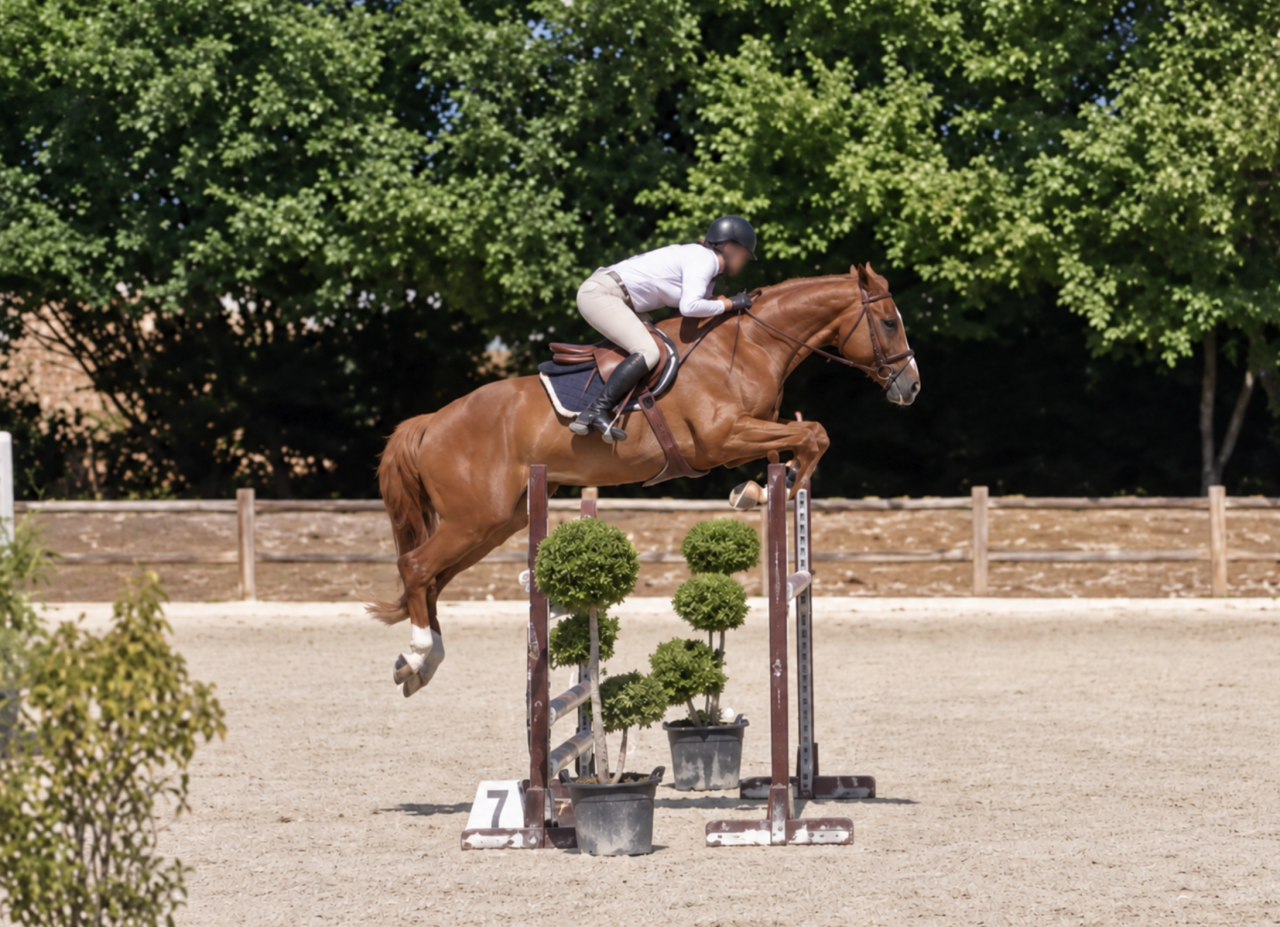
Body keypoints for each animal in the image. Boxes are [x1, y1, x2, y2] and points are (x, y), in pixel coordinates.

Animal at [369, 263, 920, 696]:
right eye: (889, 322)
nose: (911, 386)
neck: (750, 345)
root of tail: (431, 421)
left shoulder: (749, 432)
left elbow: (806, 437)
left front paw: (763, 487)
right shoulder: (722, 438)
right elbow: (814, 435)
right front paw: (764, 490)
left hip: (496, 523)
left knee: (434, 579)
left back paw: (420, 664)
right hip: (474, 518)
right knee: (417, 567)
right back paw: (418, 653)